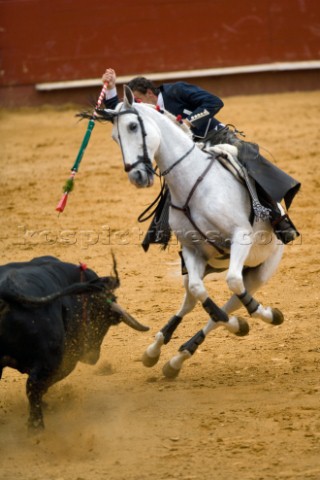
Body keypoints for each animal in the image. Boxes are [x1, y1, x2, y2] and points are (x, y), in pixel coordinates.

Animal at [0, 256, 149, 430]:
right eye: (106, 320)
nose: (93, 357)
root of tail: (6, 290)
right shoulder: (66, 360)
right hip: (53, 360)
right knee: (33, 387)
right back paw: (36, 427)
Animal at [97, 86, 282, 378]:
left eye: (133, 126)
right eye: (115, 137)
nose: (137, 176)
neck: (192, 181)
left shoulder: (241, 237)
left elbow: (233, 285)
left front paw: (264, 315)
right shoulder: (192, 251)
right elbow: (199, 292)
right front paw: (238, 324)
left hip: (260, 271)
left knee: (234, 296)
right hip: (205, 266)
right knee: (192, 300)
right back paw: (161, 352)